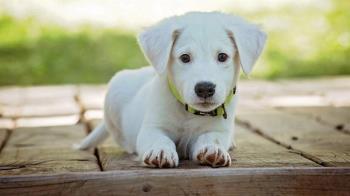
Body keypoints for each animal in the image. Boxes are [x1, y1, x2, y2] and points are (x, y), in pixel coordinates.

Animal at [77, 12, 266, 168]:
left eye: (222, 57)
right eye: (185, 58)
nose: (205, 88)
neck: (188, 112)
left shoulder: (218, 130)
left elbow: (212, 138)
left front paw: (213, 149)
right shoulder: (152, 128)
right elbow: (159, 139)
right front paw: (160, 151)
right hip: (115, 92)